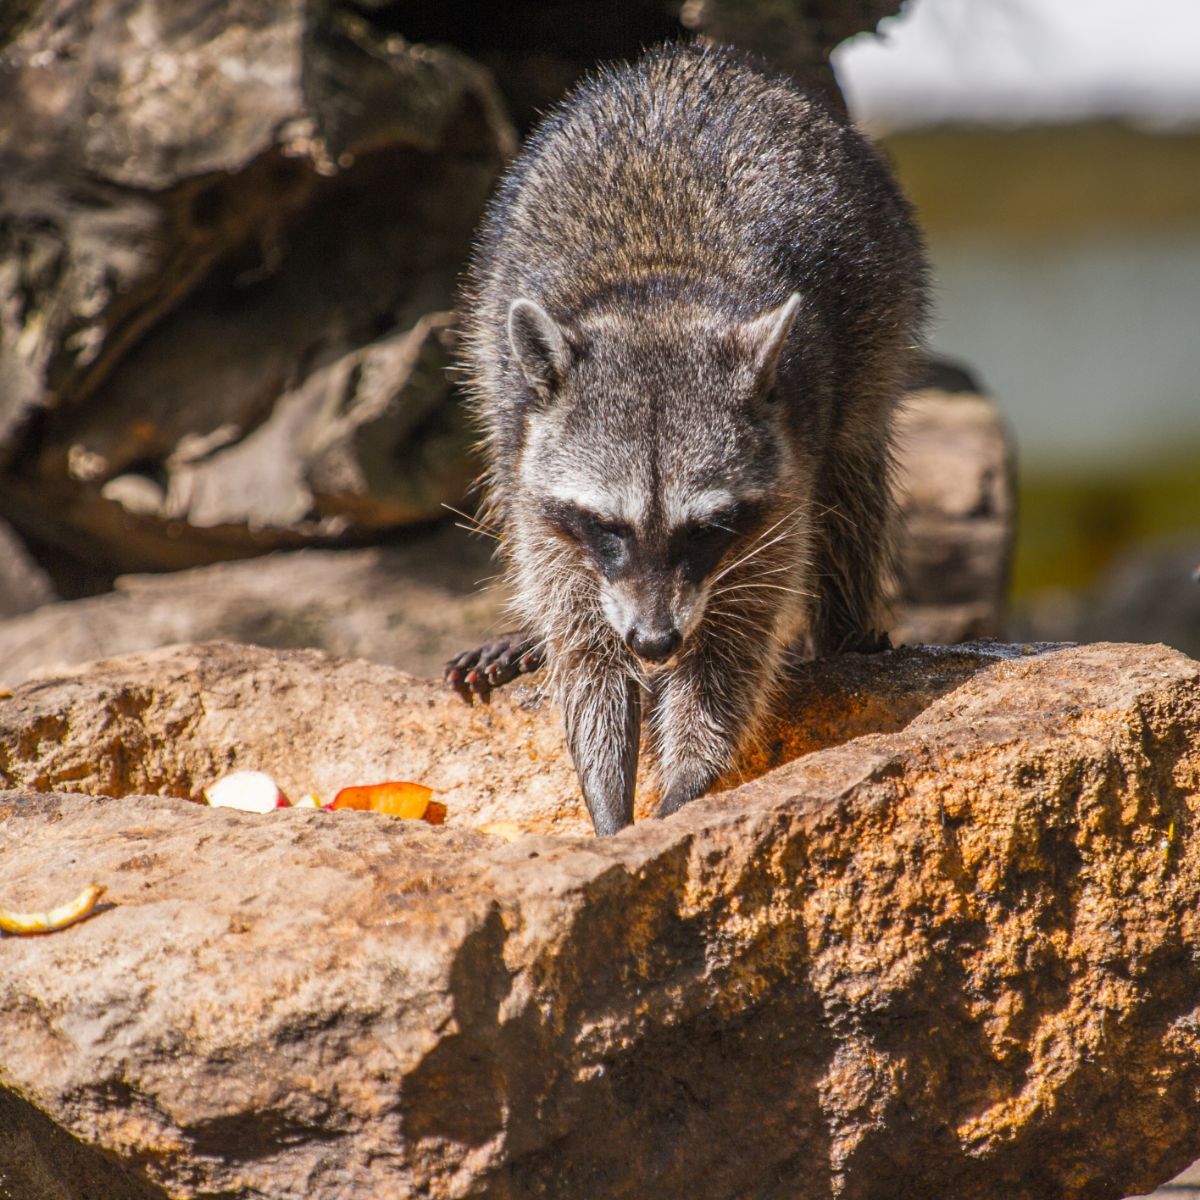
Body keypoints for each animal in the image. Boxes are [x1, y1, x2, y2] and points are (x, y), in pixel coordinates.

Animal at [445, 41, 927, 836]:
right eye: (608, 526)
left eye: (706, 527)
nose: (654, 643)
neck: (659, 295)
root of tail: (702, 58)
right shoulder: (539, 467)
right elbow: (584, 647)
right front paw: (607, 793)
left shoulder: (779, 482)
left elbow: (730, 648)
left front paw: (684, 789)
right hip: (489, 328)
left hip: (884, 297)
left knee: (853, 473)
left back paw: (846, 627)